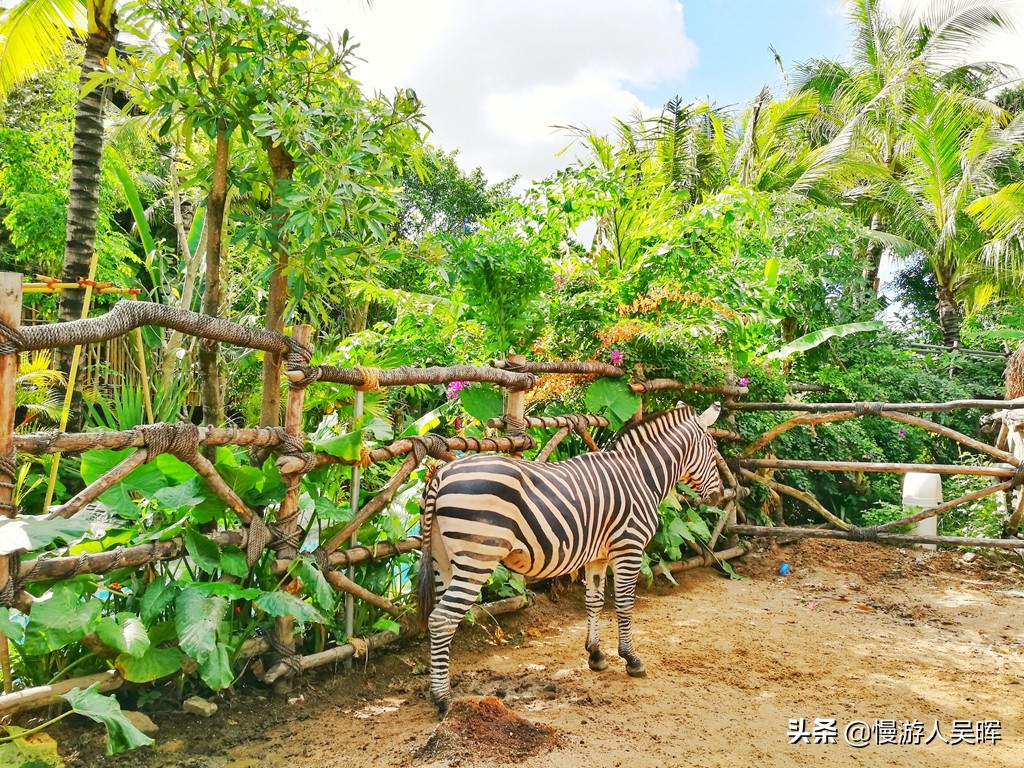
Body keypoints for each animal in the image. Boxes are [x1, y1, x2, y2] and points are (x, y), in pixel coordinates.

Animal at [413, 399, 720, 720]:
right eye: (713, 447)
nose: (720, 496)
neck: (639, 476)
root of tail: (440, 475)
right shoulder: (629, 547)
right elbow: (624, 604)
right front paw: (631, 659)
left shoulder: (598, 555)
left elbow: (595, 602)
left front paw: (596, 655)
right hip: (477, 558)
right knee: (443, 619)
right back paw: (443, 699)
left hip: (442, 560)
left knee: (439, 618)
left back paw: (442, 687)